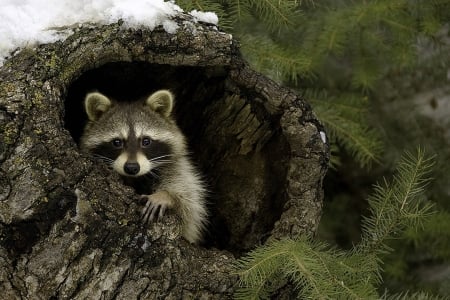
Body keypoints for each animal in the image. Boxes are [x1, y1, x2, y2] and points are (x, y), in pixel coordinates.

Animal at [80, 89, 207, 244]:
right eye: (117, 142)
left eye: (146, 141)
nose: (132, 168)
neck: (137, 177)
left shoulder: (178, 167)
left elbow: (189, 204)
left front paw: (167, 195)